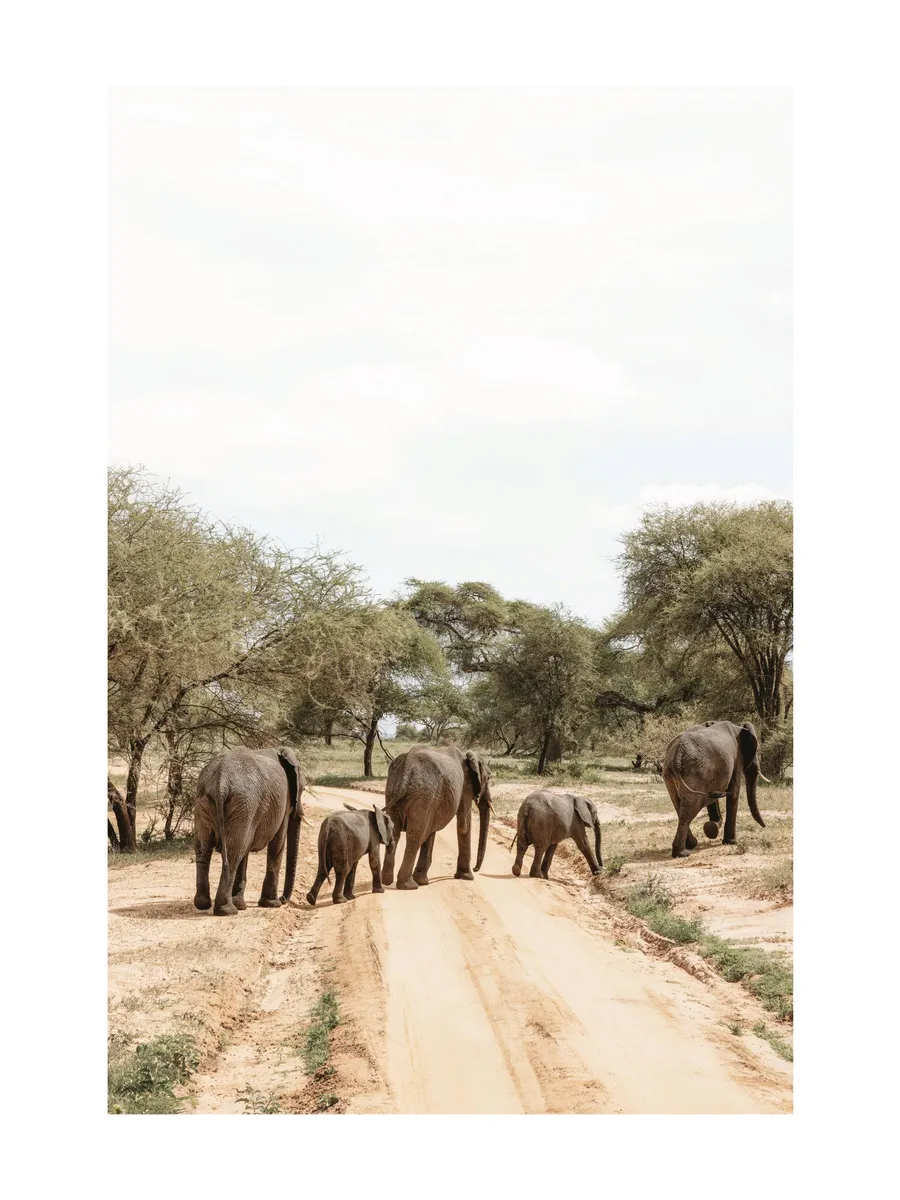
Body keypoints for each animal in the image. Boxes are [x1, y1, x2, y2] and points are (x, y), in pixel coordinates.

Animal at [193, 746, 304, 916]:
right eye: (303, 789)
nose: (284, 899)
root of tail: (221, 781)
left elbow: (245, 852)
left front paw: (241, 904)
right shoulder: (283, 804)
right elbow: (278, 843)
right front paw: (272, 904)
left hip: (207, 802)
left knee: (204, 851)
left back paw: (204, 904)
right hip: (243, 805)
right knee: (233, 854)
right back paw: (228, 910)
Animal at [381, 745, 493, 890]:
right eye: (489, 778)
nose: (476, 869)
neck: (467, 755)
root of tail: (406, 767)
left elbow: (431, 831)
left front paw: (423, 881)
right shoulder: (465, 787)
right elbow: (464, 826)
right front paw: (467, 877)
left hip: (394, 791)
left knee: (396, 831)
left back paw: (387, 881)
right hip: (424, 794)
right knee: (415, 836)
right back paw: (409, 886)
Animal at [662, 720, 768, 858]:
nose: (765, 827)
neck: (739, 728)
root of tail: (677, 755)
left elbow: (712, 798)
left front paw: (712, 828)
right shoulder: (737, 759)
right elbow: (734, 793)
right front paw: (730, 842)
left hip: (672, 775)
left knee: (679, 806)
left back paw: (691, 844)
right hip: (696, 772)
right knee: (689, 809)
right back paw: (682, 853)